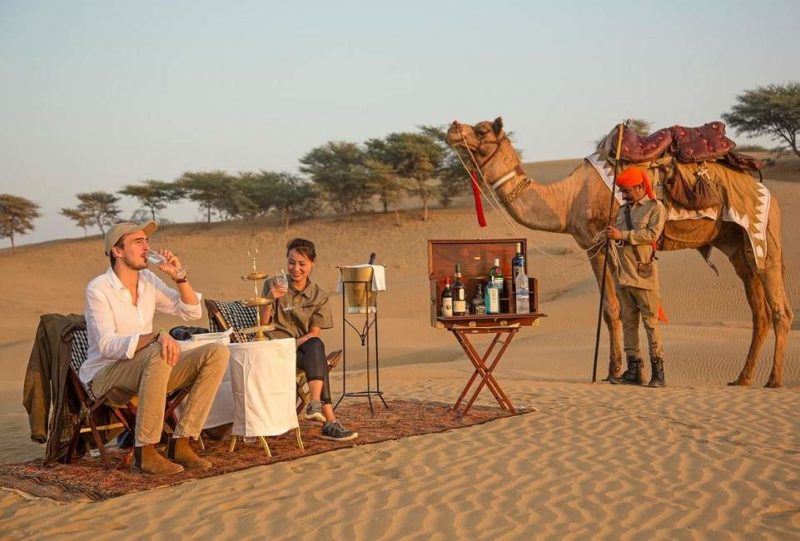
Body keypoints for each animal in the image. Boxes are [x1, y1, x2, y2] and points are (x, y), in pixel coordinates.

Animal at [446, 118, 792, 388]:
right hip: (736, 244)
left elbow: (612, 309)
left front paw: (612, 372)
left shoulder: (600, 244)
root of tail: (767, 193)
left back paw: (773, 379)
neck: (566, 199)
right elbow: (624, 310)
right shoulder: (594, 247)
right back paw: (742, 378)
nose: (451, 128)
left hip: (763, 235)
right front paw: (630, 372)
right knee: (758, 308)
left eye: (481, 129)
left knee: (779, 307)